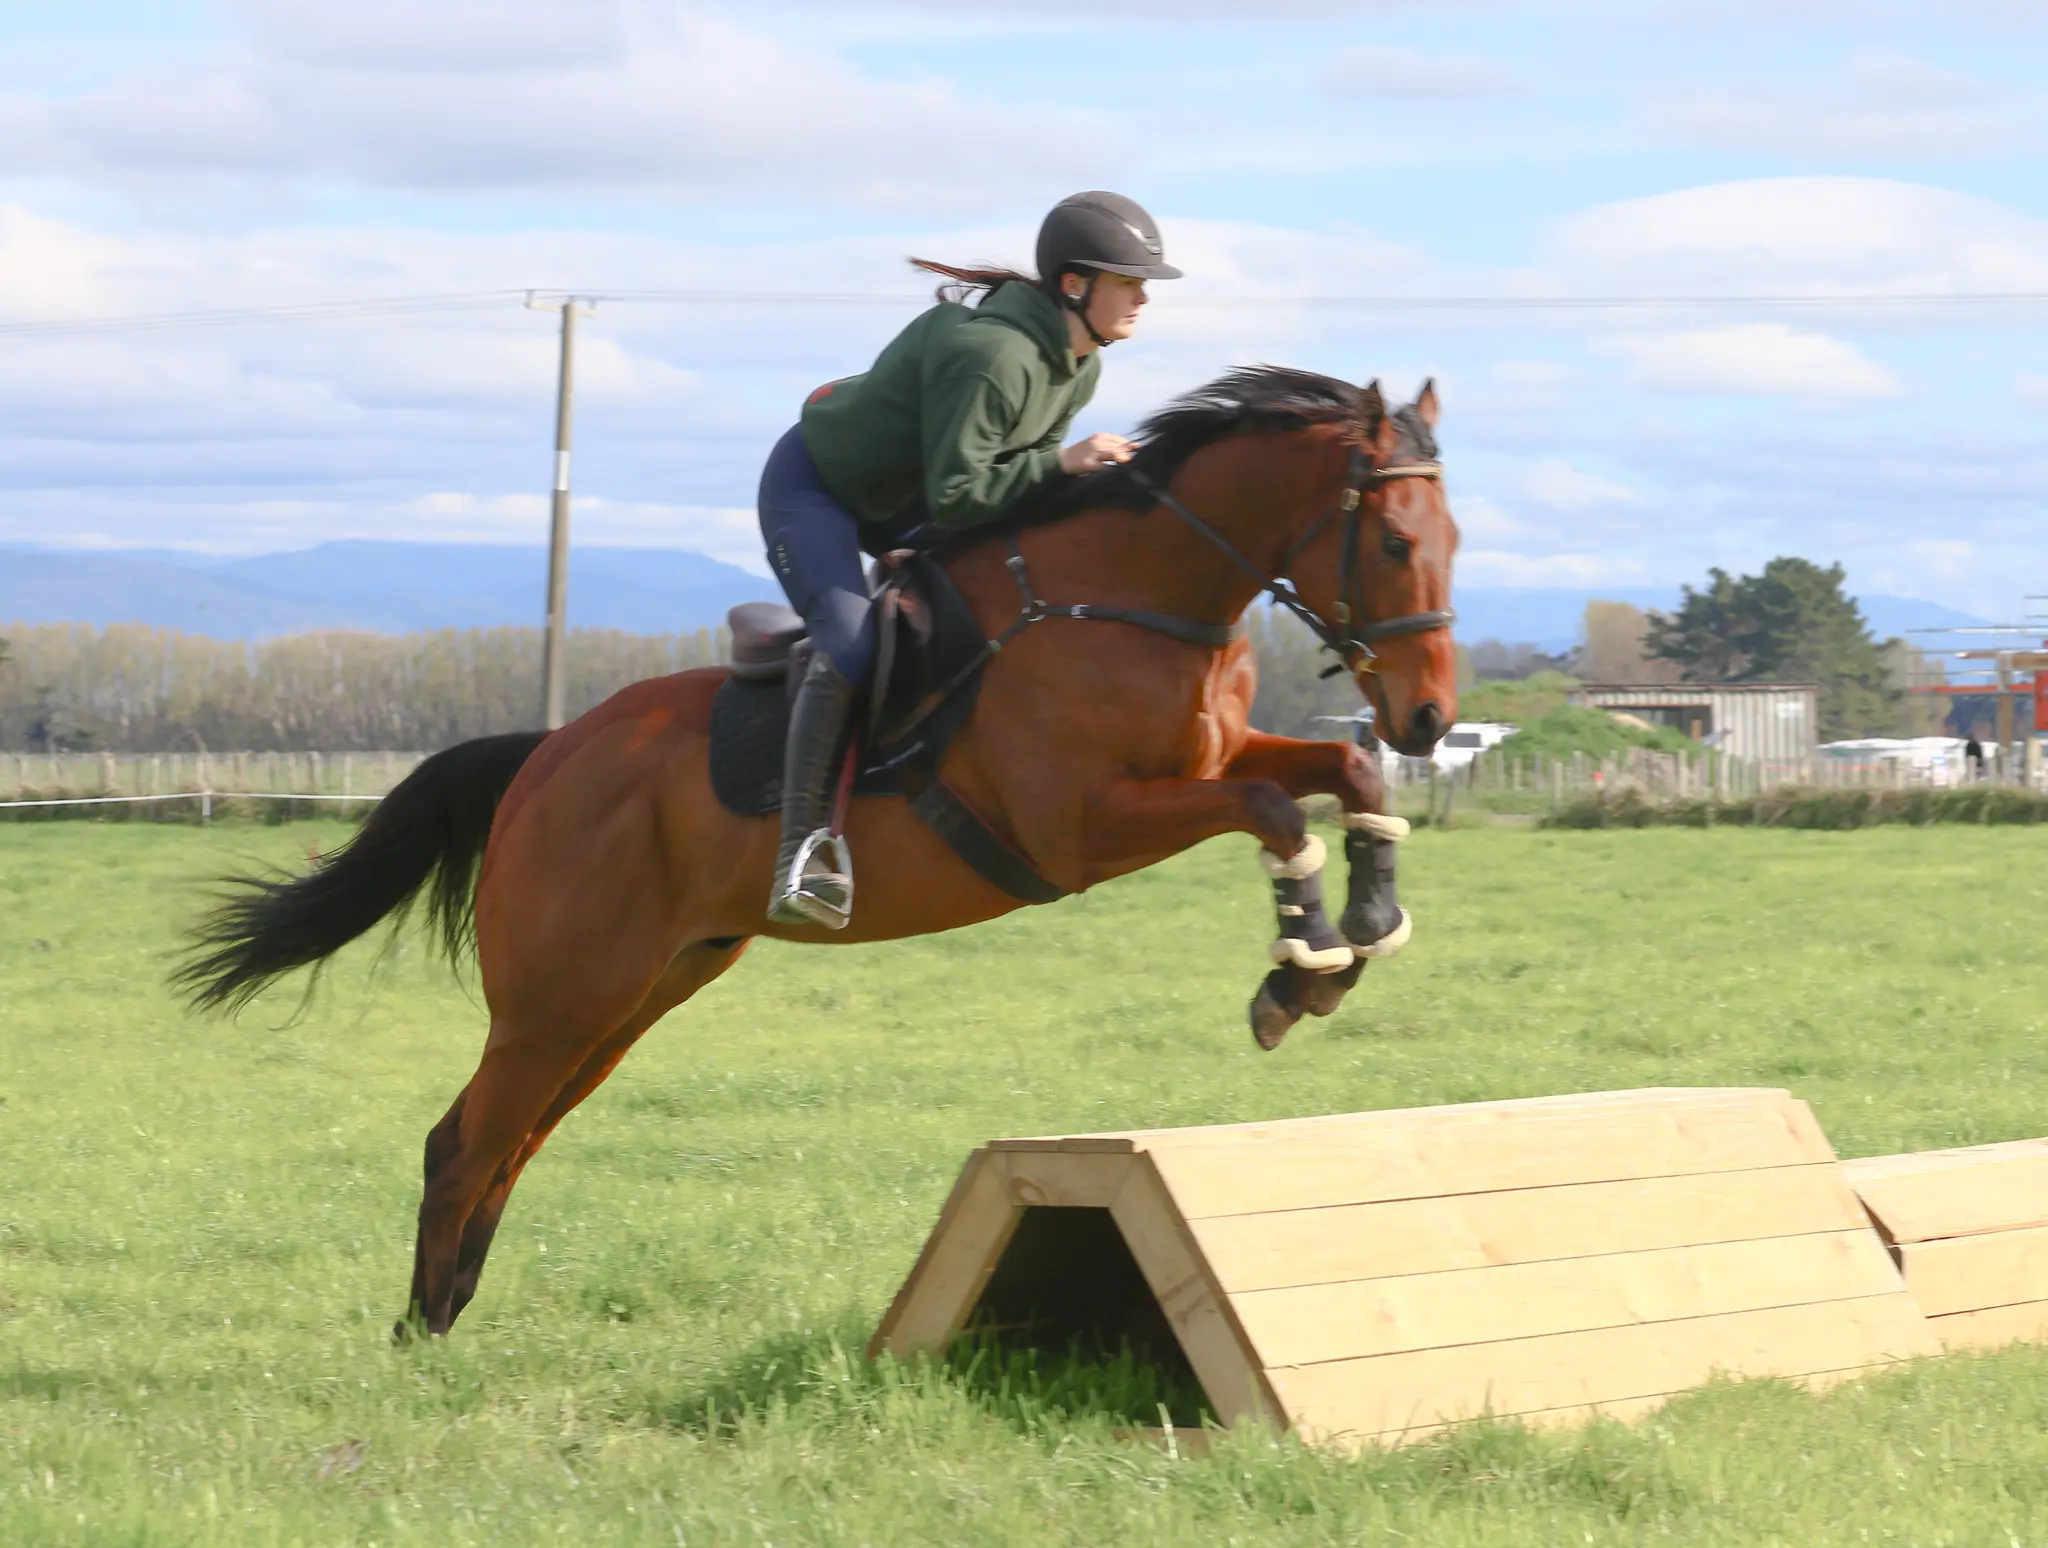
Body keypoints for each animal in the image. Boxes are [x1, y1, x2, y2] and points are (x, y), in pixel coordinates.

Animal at [175, 367, 1460, 1338]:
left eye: (1452, 538)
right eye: (1397, 542)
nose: (1428, 719)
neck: (1128, 597)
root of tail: (544, 756)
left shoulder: (1212, 754)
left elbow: (1335, 779)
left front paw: (1363, 929)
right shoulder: (1081, 827)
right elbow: (1273, 810)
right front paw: (1300, 969)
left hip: (637, 991)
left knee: (516, 1136)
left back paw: (449, 1313)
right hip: (559, 993)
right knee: (466, 1139)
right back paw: (420, 1337)